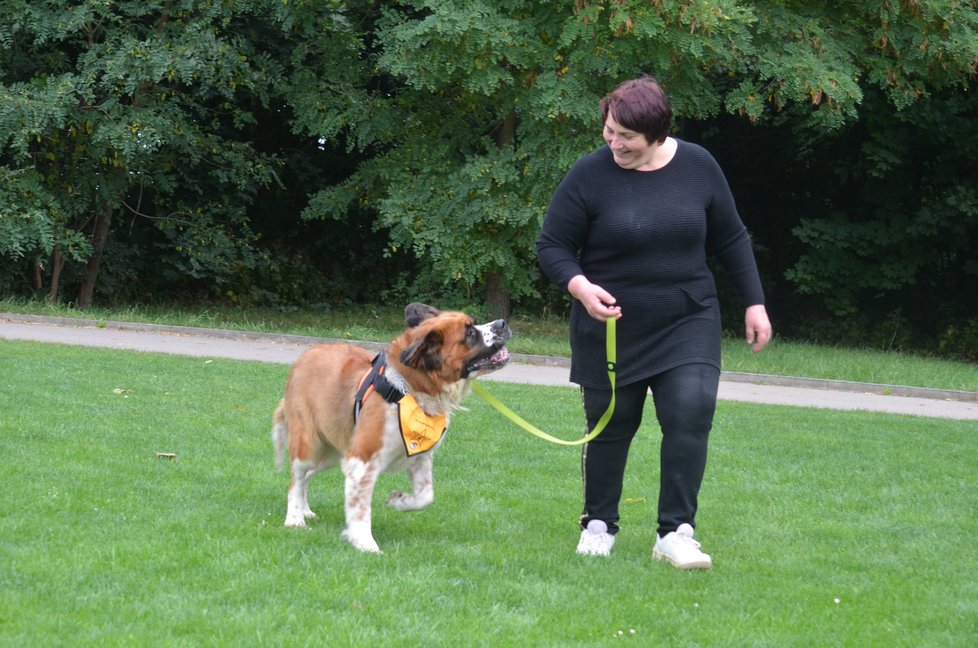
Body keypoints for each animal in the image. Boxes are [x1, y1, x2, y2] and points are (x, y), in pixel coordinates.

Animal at [268, 302, 510, 552]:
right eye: (470, 333)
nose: (502, 323)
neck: (408, 392)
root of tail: (304, 357)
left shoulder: (420, 456)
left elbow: (426, 495)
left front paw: (399, 500)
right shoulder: (361, 460)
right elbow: (360, 508)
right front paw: (365, 543)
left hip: (331, 453)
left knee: (306, 477)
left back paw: (305, 510)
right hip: (308, 445)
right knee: (296, 480)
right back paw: (295, 519)